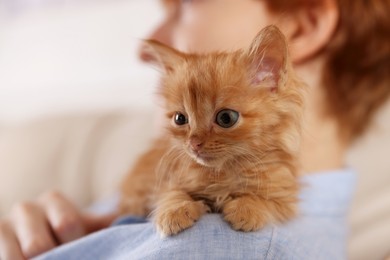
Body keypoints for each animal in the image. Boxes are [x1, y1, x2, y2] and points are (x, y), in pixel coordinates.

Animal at [120, 25, 306, 236]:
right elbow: (172, 193)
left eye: (226, 118)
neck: (223, 173)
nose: (193, 143)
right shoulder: (171, 179)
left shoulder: (285, 197)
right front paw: (174, 211)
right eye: (180, 118)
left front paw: (247, 209)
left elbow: (267, 202)